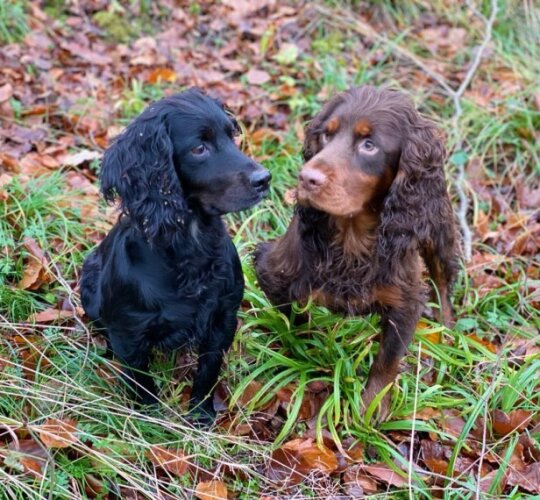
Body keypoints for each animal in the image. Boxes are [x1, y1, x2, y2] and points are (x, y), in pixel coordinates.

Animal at [81, 88, 270, 420]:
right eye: (199, 148)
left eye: (231, 136)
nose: (265, 178)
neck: (189, 244)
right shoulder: (130, 330)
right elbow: (141, 380)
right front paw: (151, 419)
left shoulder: (222, 318)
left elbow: (208, 369)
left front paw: (200, 414)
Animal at [255, 87, 458, 418]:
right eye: (327, 134)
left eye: (369, 145)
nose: (306, 178)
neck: (352, 237)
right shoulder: (272, 271)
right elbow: (296, 322)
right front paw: (314, 353)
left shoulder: (405, 301)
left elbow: (387, 360)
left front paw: (371, 408)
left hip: (437, 228)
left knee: (442, 280)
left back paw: (448, 330)